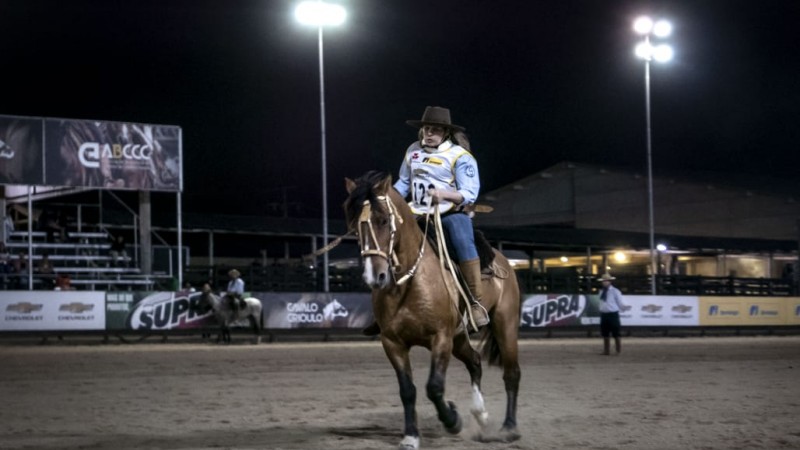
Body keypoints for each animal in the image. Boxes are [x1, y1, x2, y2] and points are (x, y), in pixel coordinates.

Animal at [340, 171, 520, 448]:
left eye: (383, 220)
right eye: (354, 226)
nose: (375, 276)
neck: (411, 282)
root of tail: (503, 261)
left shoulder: (441, 338)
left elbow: (434, 387)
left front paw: (453, 420)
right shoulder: (392, 342)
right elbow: (408, 390)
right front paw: (411, 436)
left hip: (505, 324)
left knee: (511, 373)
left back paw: (509, 428)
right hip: (460, 337)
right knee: (475, 362)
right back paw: (480, 414)